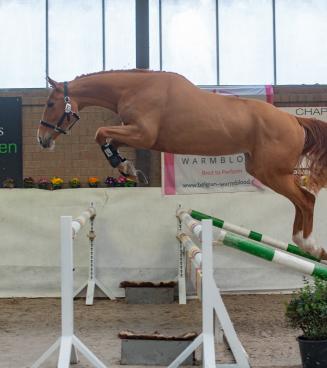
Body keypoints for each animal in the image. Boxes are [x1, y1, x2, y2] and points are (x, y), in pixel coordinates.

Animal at [37, 69, 327, 258]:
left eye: (51, 103)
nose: (42, 140)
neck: (134, 87)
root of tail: (294, 120)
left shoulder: (143, 134)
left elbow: (99, 133)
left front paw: (125, 167)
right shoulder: (132, 132)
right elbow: (107, 140)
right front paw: (126, 167)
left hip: (271, 172)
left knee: (306, 199)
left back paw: (309, 244)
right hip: (264, 170)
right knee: (300, 201)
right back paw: (304, 244)